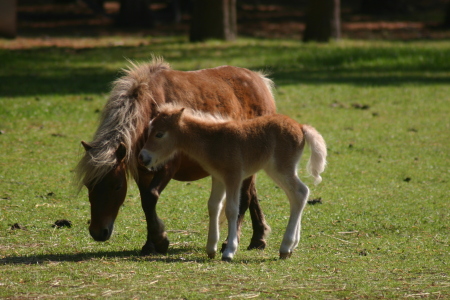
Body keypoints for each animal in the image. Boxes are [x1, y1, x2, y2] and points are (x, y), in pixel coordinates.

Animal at [75, 57, 276, 254]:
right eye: (88, 185)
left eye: (116, 186)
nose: (98, 232)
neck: (149, 110)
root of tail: (259, 80)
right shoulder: (143, 171)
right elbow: (145, 202)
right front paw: (150, 244)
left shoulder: (167, 167)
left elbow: (150, 198)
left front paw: (160, 239)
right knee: (251, 195)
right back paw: (258, 238)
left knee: (245, 198)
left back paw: (231, 242)